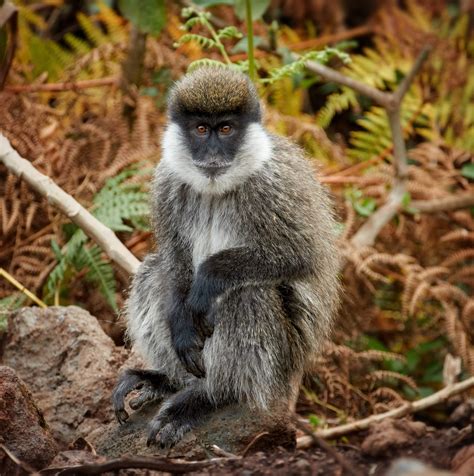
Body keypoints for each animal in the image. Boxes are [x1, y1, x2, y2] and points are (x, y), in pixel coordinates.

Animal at [111, 65, 340, 448]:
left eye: (227, 129)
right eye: (202, 129)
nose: (213, 152)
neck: (217, 188)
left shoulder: (272, 186)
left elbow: (305, 256)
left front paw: (209, 277)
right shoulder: (167, 182)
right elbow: (174, 259)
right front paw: (182, 328)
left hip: (282, 363)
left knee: (247, 292)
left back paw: (212, 394)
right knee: (153, 270)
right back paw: (171, 381)